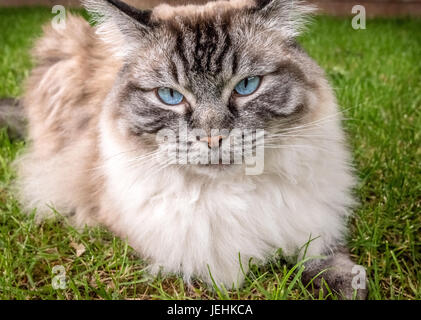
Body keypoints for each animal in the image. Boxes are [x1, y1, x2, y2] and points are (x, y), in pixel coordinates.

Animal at [14, 0, 366, 300]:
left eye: (246, 86)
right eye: (170, 95)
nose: (212, 139)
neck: (227, 194)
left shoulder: (313, 215)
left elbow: (322, 252)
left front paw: (346, 284)